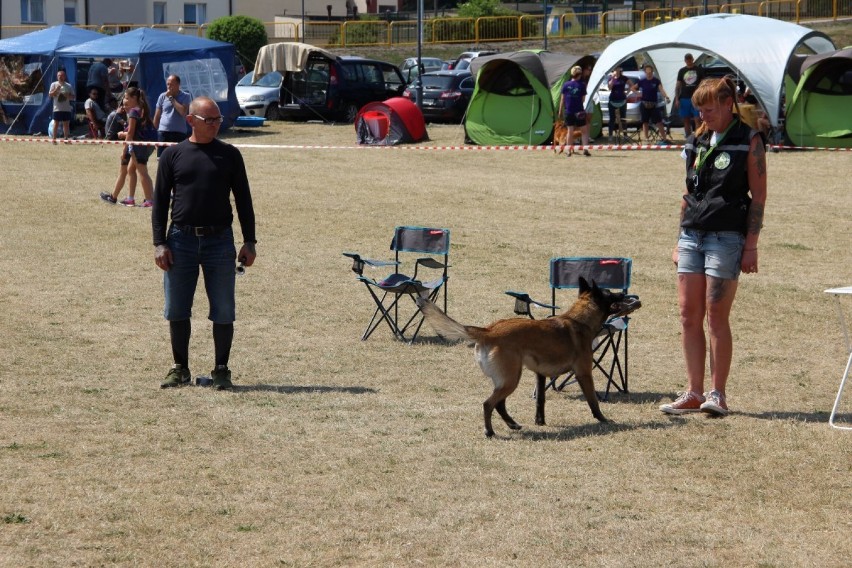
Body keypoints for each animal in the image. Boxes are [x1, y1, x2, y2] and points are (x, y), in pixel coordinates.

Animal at [416, 280, 628, 440]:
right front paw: (603, 419)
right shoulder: (584, 373)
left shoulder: (540, 374)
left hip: (506, 379)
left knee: (499, 404)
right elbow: (593, 401)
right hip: (511, 379)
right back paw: (490, 431)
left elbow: (540, 400)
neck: (580, 320)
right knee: (489, 404)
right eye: (610, 293)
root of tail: (489, 331)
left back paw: (513, 424)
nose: (625, 294)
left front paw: (540, 422)